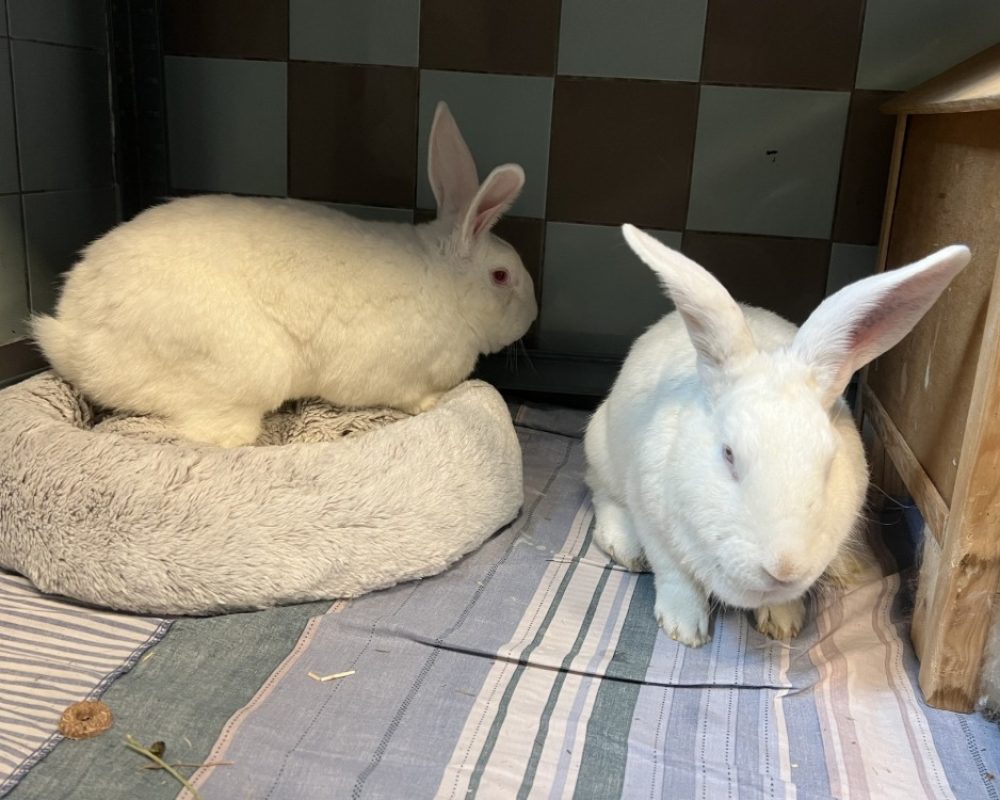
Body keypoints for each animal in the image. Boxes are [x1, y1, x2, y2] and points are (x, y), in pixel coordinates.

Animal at [32, 102, 537, 447]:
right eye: (501, 276)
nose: (532, 316)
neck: (446, 287)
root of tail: (71, 333)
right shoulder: (392, 376)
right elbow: (408, 396)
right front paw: (432, 405)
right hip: (246, 369)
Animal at [584, 224, 971, 647]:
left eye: (828, 463)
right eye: (728, 453)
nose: (785, 567)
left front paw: (785, 624)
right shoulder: (652, 516)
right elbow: (675, 576)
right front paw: (684, 629)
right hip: (600, 450)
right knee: (602, 495)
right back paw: (625, 546)